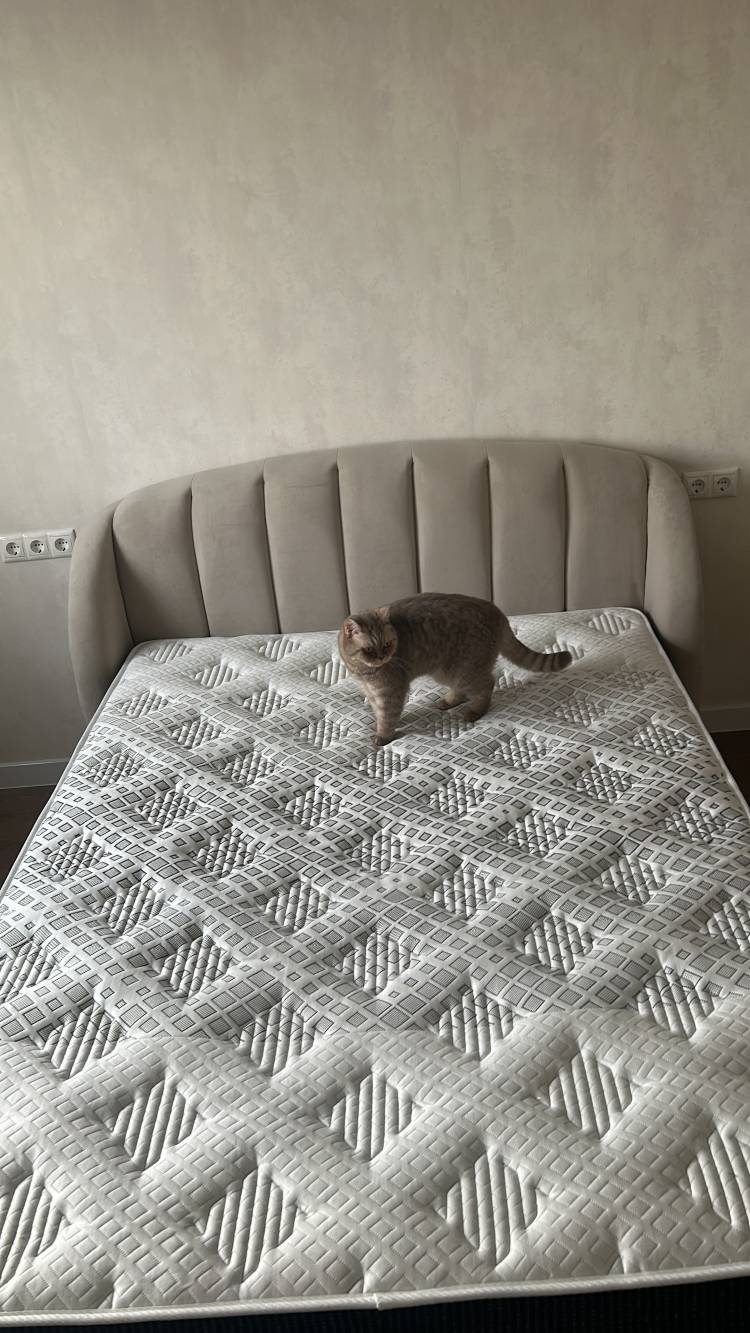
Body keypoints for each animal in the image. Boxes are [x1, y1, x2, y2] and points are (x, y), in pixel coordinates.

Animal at [339, 592, 572, 747]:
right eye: (369, 649)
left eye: (387, 645)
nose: (383, 657)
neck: (364, 671)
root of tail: (497, 612)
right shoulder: (371, 691)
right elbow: (378, 712)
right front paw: (376, 726)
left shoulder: (390, 691)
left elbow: (387, 717)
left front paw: (383, 736)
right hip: (448, 672)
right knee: (463, 690)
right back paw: (448, 701)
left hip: (461, 671)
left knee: (486, 685)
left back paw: (475, 712)